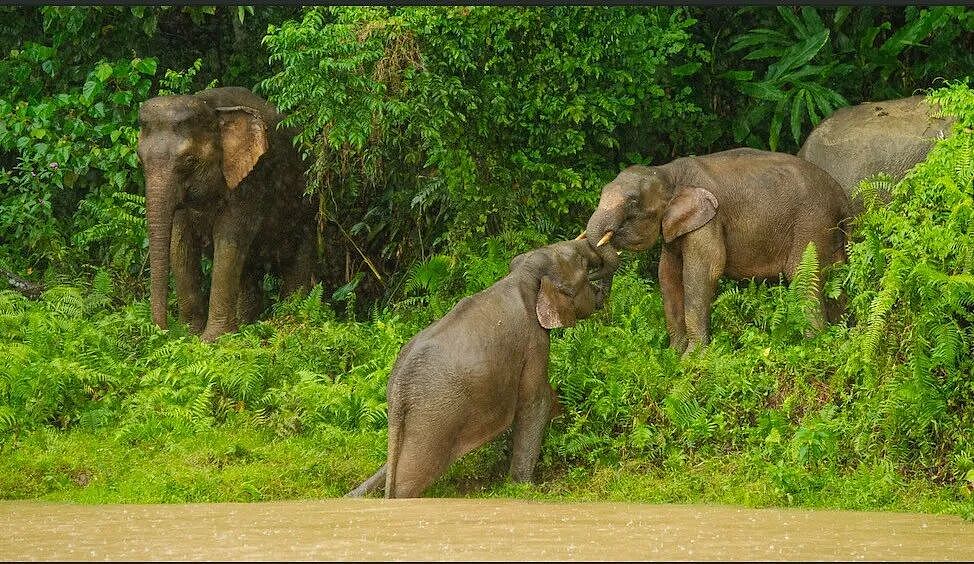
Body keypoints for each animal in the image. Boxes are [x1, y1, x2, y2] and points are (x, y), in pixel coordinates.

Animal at [138, 87, 318, 342]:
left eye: (189, 161)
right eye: (140, 159)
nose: (162, 331)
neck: (212, 107)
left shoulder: (251, 180)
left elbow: (228, 240)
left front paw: (211, 341)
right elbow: (180, 245)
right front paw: (189, 335)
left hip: (308, 208)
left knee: (297, 261)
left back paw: (290, 320)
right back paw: (245, 327)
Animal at [346, 239, 617, 498]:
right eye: (580, 262)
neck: (523, 274)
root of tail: (398, 389)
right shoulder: (533, 343)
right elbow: (535, 402)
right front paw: (526, 488)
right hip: (433, 420)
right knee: (411, 477)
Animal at [582, 148, 851, 353]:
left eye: (632, 202)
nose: (598, 301)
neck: (668, 171)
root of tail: (842, 197)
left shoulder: (710, 220)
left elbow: (703, 272)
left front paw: (692, 359)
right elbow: (667, 275)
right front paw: (672, 355)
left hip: (812, 221)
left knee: (804, 274)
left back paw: (812, 346)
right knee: (836, 275)